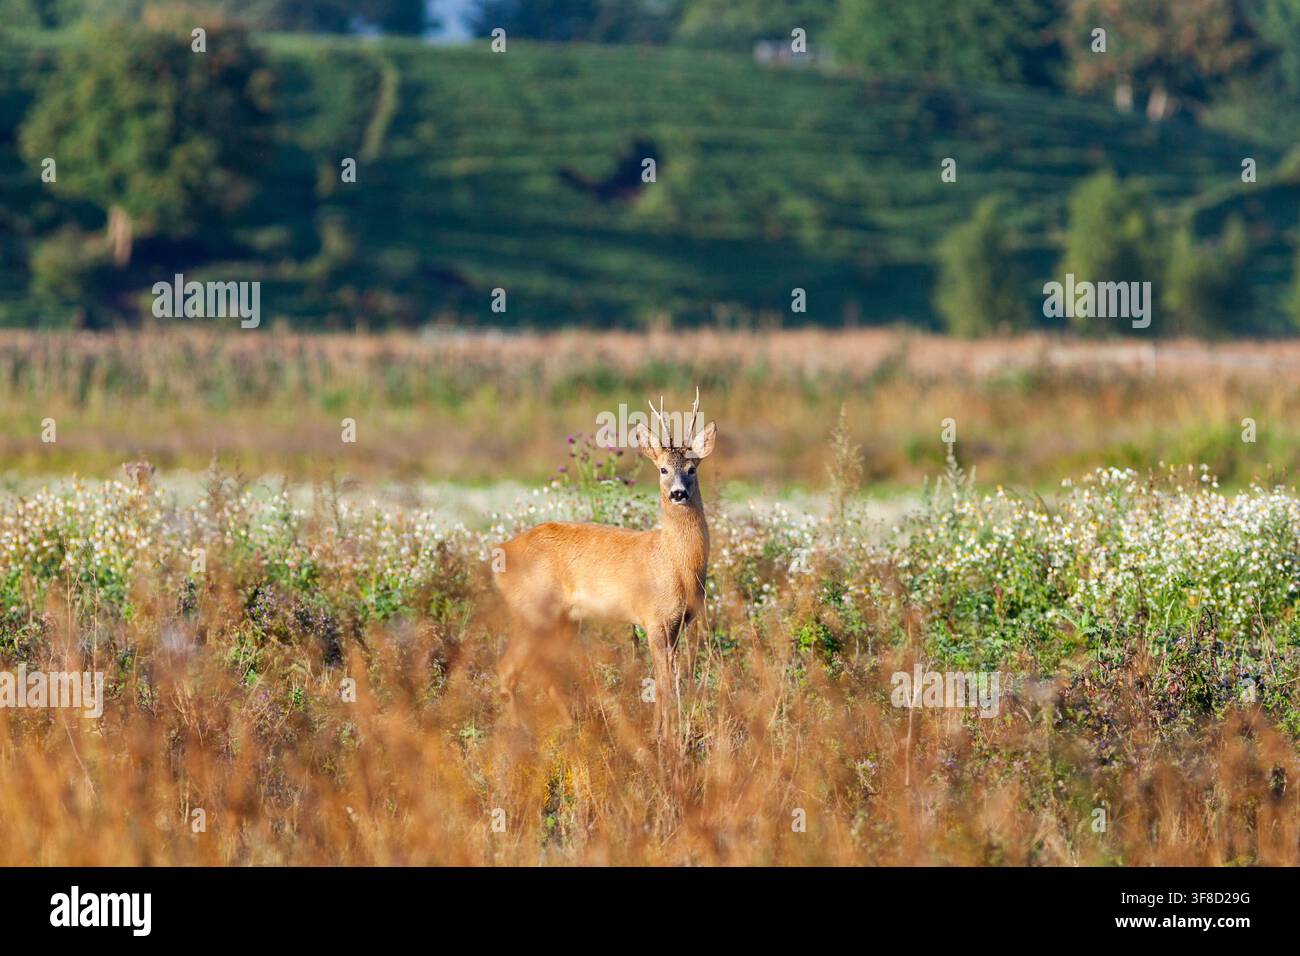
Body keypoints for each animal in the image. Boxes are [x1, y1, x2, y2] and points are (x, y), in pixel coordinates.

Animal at [493, 389, 716, 739]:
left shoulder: (678, 624)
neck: (675, 563)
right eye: (662, 470)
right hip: (533, 611)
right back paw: (521, 734)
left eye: (693, 468)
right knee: (508, 669)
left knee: (542, 671)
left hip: (562, 619)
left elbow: (669, 681)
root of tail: (502, 552)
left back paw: (570, 726)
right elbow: (664, 684)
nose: (679, 493)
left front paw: (662, 732)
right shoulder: (653, 618)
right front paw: (664, 738)